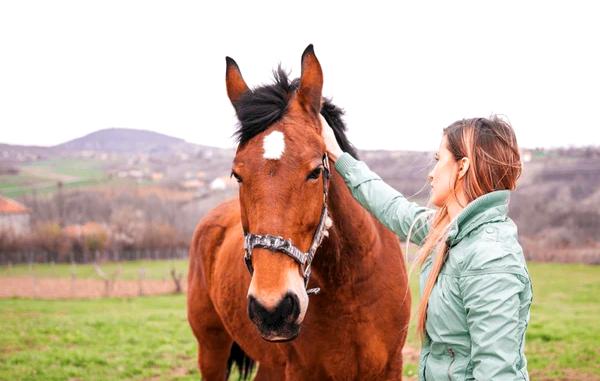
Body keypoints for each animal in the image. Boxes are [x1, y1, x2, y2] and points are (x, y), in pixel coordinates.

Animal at [188, 45, 412, 380]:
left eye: (315, 171)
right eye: (237, 175)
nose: (272, 309)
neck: (350, 285)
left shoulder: (390, 368)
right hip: (212, 351)